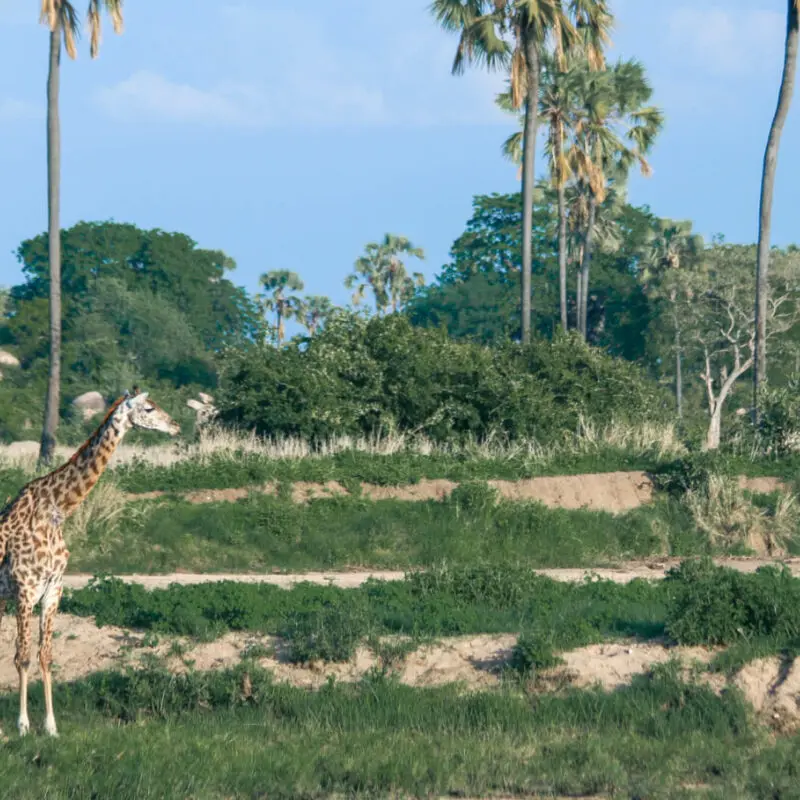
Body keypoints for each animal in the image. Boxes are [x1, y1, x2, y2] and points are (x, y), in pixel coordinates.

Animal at [0, 387, 179, 738]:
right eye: (149, 409)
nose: (176, 426)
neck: (56, 509)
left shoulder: (52, 590)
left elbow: (46, 656)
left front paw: (51, 726)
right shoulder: (25, 589)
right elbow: (23, 657)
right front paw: (23, 725)